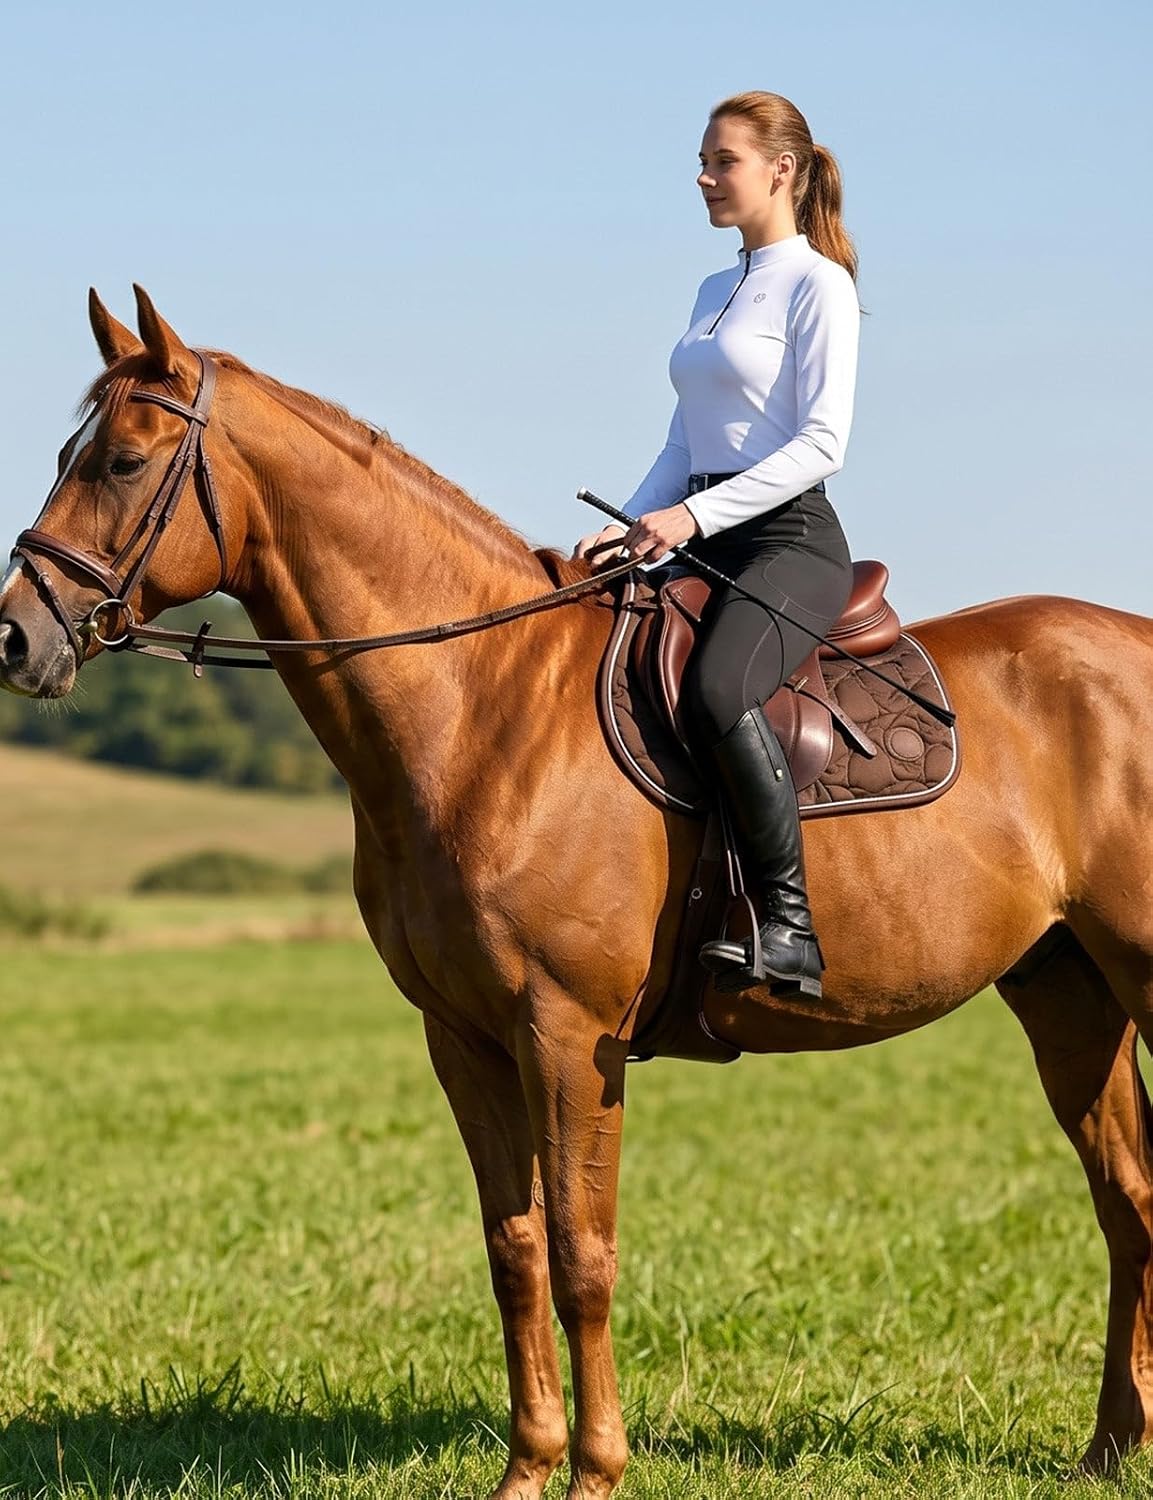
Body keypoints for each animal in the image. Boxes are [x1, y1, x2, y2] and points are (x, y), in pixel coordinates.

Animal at [3, 285, 1153, 1499]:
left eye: (124, 461)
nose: (15, 636)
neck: (479, 706)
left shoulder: (567, 1035)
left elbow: (580, 1253)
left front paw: (597, 1468)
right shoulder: (463, 1038)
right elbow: (513, 1252)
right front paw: (528, 1467)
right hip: (1069, 994)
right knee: (1128, 1205)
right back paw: (1108, 1446)